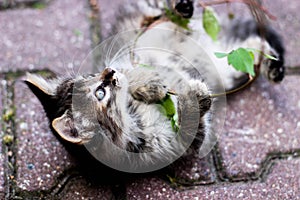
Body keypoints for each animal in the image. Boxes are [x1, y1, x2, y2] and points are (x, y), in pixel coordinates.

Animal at [25, 0, 284, 172]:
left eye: (92, 75)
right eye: (100, 93)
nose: (109, 72)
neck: (133, 116)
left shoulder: (128, 58)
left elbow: (134, 72)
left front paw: (148, 83)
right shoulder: (179, 143)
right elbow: (191, 121)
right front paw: (194, 95)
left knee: (162, 11)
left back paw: (182, 7)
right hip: (228, 67)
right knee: (251, 52)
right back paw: (272, 65)